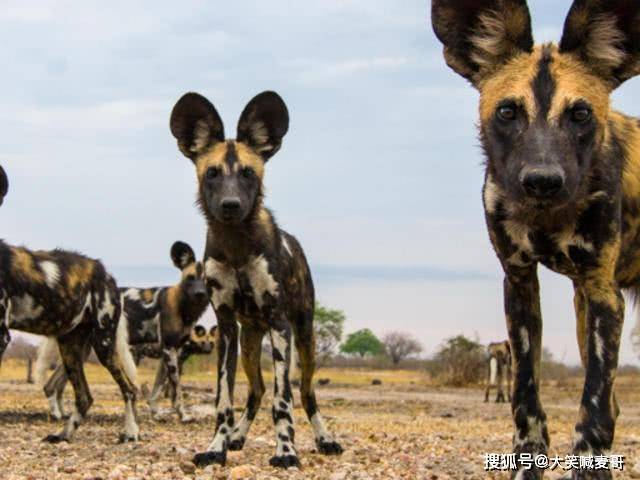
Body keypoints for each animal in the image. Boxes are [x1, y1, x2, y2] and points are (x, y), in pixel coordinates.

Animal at [37, 242, 209, 422]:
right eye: (190, 278)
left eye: (207, 280)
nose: (200, 294)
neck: (183, 306)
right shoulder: (169, 350)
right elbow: (176, 389)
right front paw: (183, 416)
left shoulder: (168, 353)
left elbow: (158, 389)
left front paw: (155, 413)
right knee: (53, 385)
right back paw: (58, 414)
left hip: (82, 351)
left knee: (52, 385)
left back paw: (61, 414)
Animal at [168, 90, 342, 468]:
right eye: (213, 173)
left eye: (248, 173)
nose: (231, 204)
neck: (237, 246)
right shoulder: (226, 329)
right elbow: (224, 400)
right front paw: (217, 447)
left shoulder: (280, 324)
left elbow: (283, 400)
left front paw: (286, 452)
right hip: (249, 343)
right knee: (256, 390)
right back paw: (237, 437)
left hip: (304, 338)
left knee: (306, 393)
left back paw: (325, 440)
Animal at [432, 0, 640, 476]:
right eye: (508, 112)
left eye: (580, 114)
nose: (542, 181)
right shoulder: (521, 284)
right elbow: (527, 402)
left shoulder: (604, 293)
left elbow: (594, 411)